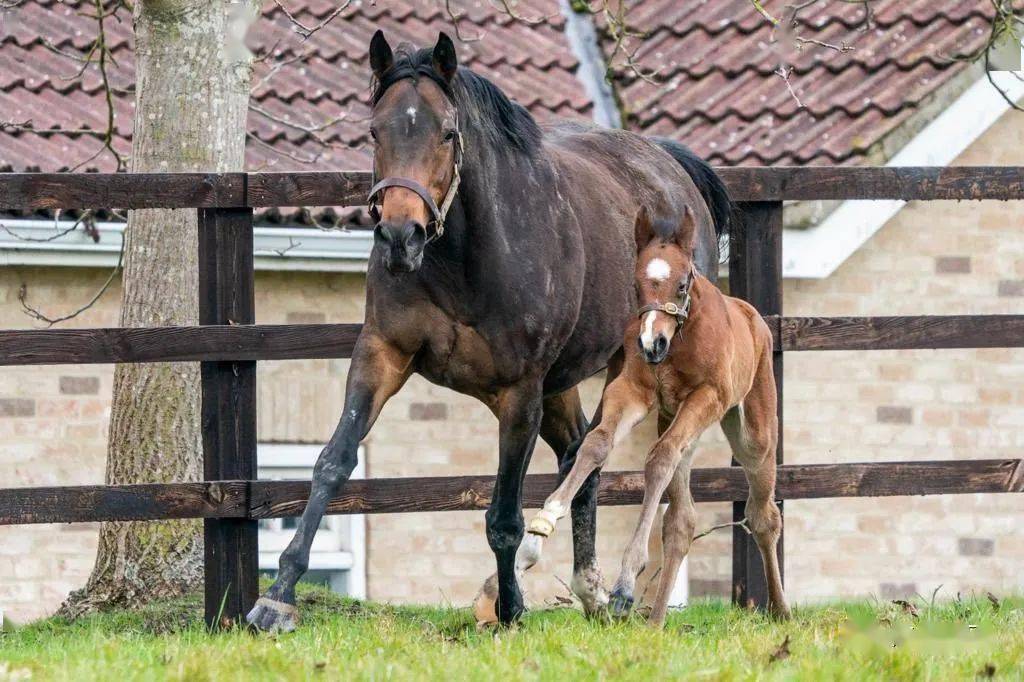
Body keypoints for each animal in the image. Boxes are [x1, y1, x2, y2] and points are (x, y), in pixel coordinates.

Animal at [243, 29, 733, 630]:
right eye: (375, 130)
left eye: (448, 132)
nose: (400, 237)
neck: (467, 260)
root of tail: (675, 170)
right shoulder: (381, 354)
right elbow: (332, 463)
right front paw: (276, 597)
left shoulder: (519, 392)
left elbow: (503, 513)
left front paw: (509, 606)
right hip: (562, 382)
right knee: (580, 454)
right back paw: (588, 588)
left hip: (631, 366)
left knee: (605, 453)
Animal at [524, 208, 786, 626]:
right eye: (635, 284)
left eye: (682, 284)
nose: (651, 344)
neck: (680, 339)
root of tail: (754, 318)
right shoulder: (632, 390)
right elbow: (596, 444)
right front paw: (539, 529)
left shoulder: (706, 396)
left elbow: (658, 458)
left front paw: (625, 583)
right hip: (677, 424)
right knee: (681, 521)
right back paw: (657, 621)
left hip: (752, 433)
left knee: (763, 514)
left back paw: (779, 609)